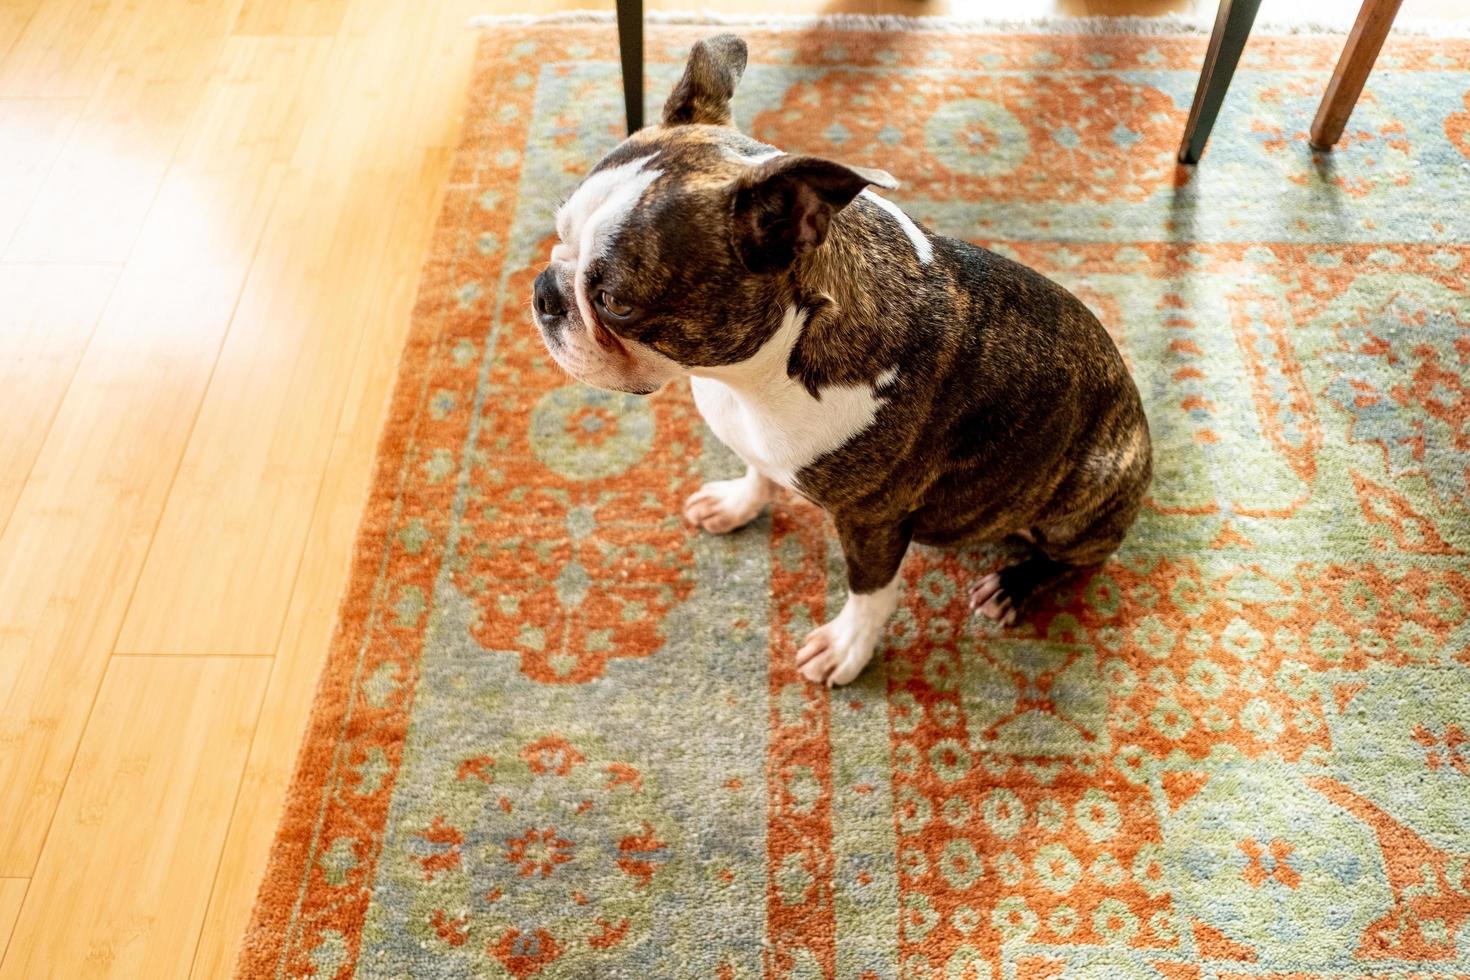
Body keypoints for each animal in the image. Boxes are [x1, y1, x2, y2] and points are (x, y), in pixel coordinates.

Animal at [535, 34, 1152, 687]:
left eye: (614, 302)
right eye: (558, 231)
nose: (545, 292)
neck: (755, 375)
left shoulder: (874, 521)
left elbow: (870, 590)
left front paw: (848, 646)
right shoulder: (761, 442)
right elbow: (758, 471)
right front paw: (737, 503)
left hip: (1090, 489)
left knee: (1069, 557)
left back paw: (1013, 585)